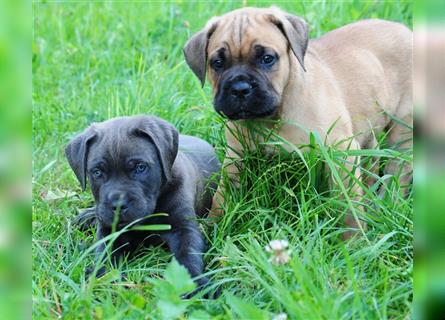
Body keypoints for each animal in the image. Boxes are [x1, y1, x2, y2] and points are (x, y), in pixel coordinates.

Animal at [64, 114, 220, 292]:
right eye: (97, 172)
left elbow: (188, 255)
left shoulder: (184, 228)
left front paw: (196, 286)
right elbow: (106, 255)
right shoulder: (109, 231)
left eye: (140, 167)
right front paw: (104, 278)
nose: (118, 205)